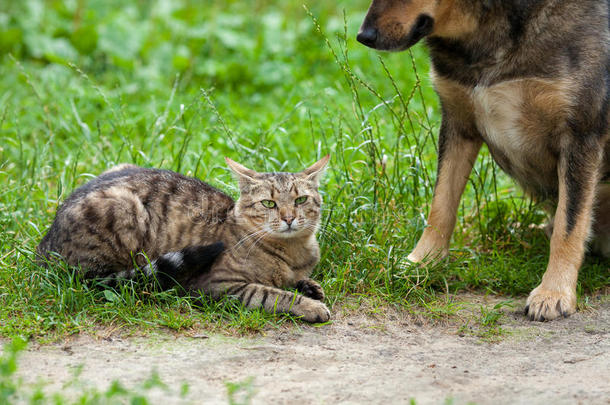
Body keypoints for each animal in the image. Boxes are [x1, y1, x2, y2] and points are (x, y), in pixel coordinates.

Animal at [36, 155, 332, 322]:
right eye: (269, 203)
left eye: (301, 200)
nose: (288, 217)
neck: (293, 252)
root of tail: (44, 246)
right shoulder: (218, 285)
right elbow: (270, 294)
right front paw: (309, 305)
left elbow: (295, 281)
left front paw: (309, 287)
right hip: (123, 209)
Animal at [356, 0, 608, 322]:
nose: (364, 37)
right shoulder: (458, 125)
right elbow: (441, 206)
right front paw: (423, 262)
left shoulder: (580, 136)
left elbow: (569, 225)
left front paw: (554, 291)